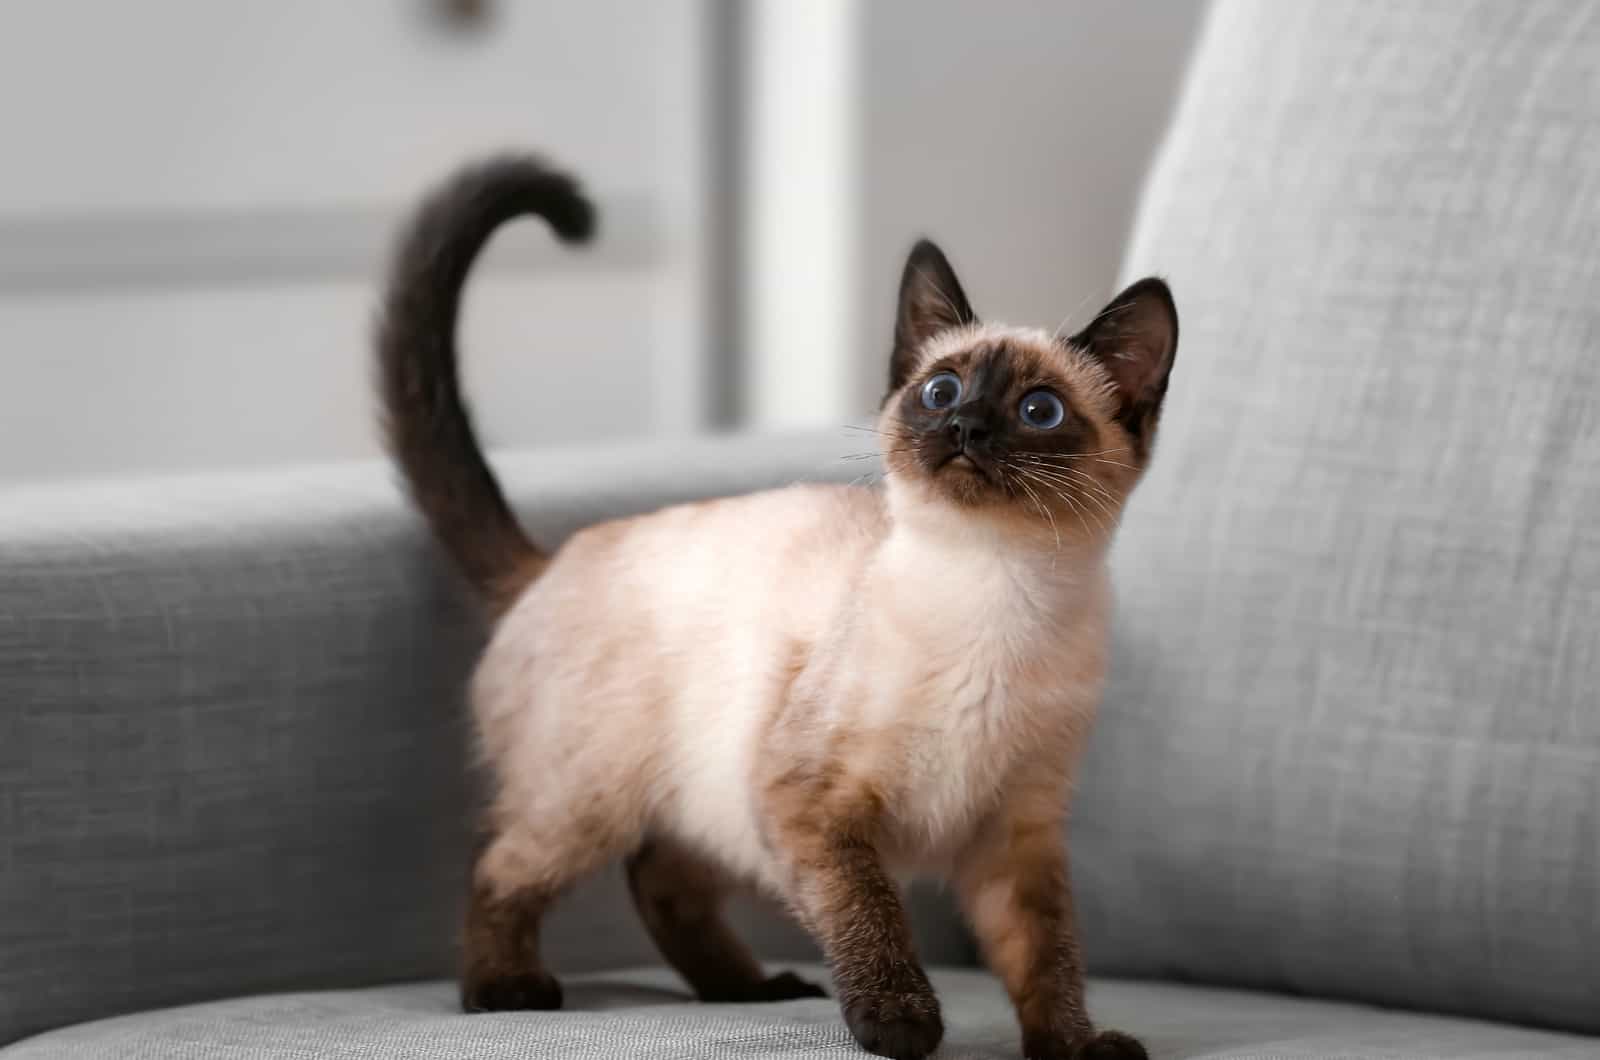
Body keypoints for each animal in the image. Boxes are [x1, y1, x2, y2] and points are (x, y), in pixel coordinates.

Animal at [376, 157, 1177, 1060]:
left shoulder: (1014, 840)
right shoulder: (809, 805)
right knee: (499, 865)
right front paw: (900, 1023)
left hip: (709, 807)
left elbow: (1048, 957)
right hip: (590, 803)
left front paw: (1077, 1047)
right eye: (941, 391)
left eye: (1038, 411)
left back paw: (749, 988)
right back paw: (504, 991)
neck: (998, 588)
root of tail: (549, 561)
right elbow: (873, 916)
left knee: (660, 878)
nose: (967, 427)